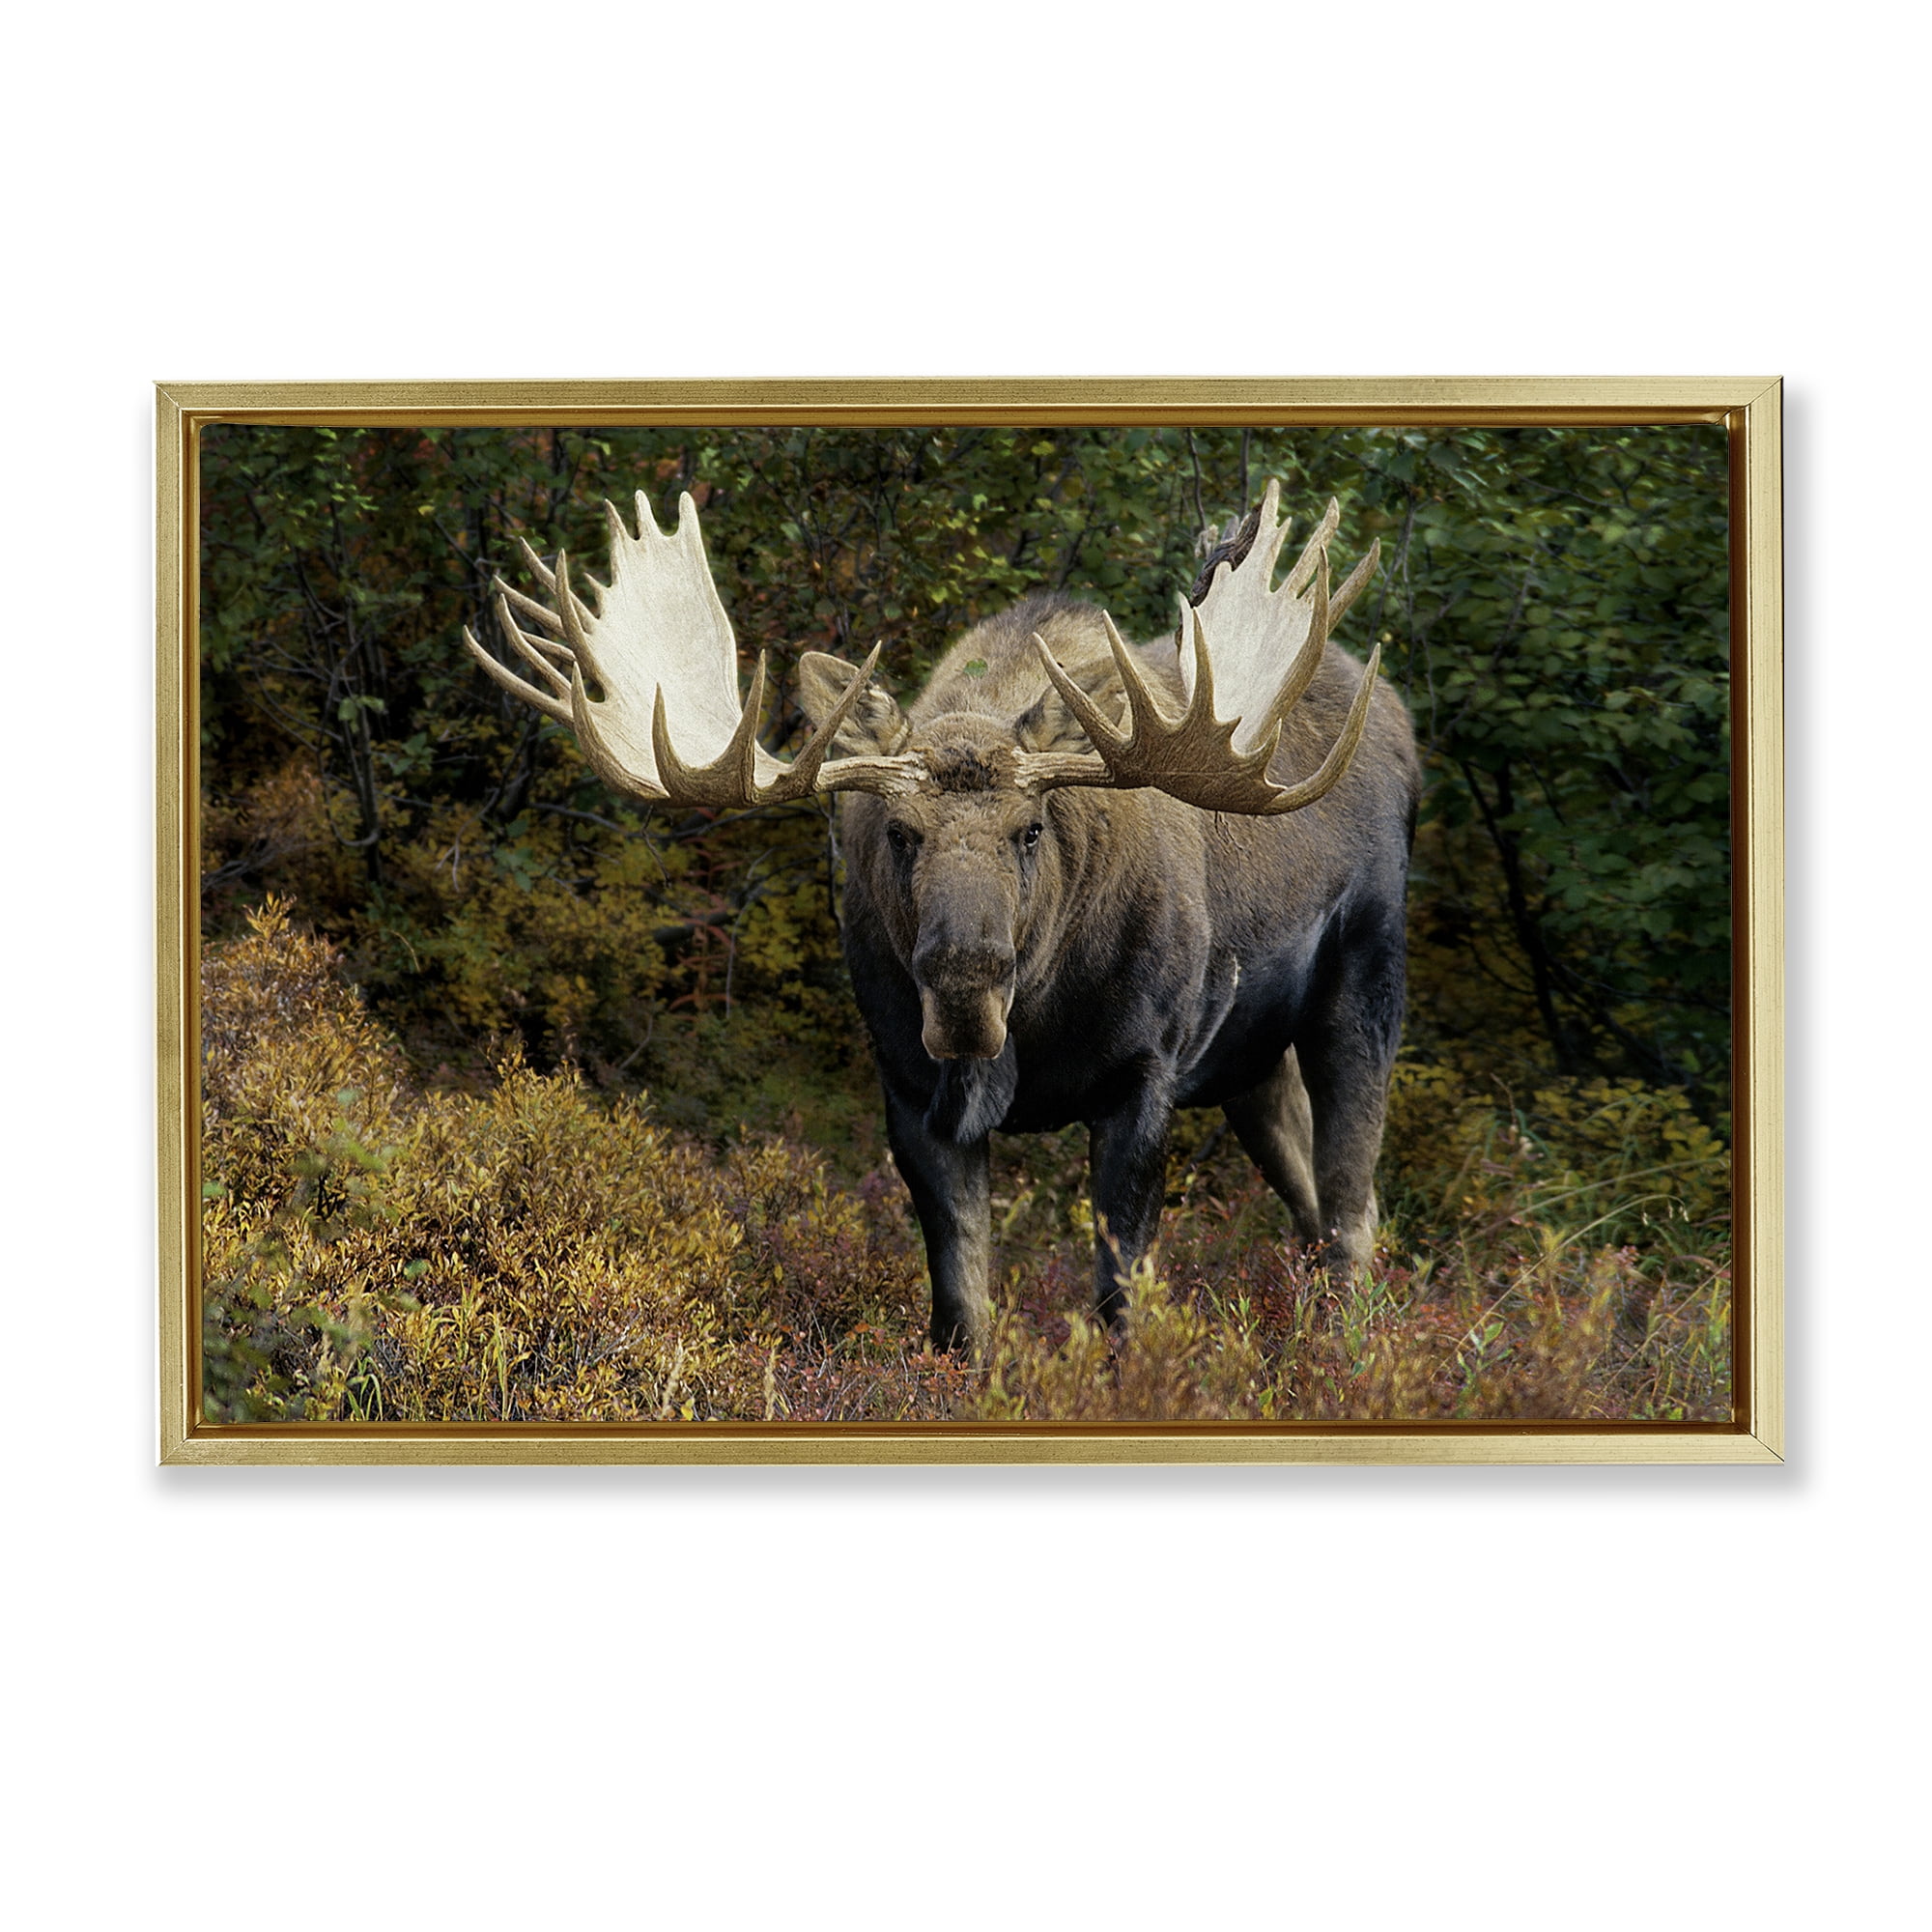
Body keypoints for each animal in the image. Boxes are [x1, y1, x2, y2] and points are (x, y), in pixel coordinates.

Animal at [465, 480, 1420, 1353]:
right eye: (899, 831)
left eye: (1031, 828)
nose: (965, 986)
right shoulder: (909, 1090)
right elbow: (961, 1312)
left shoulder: (1144, 1075)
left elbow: (1121, 1304)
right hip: (1249, 1061)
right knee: (1313, 1197)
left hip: (1364, 978)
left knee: (1353, 1204)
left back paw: (1348, 1352)